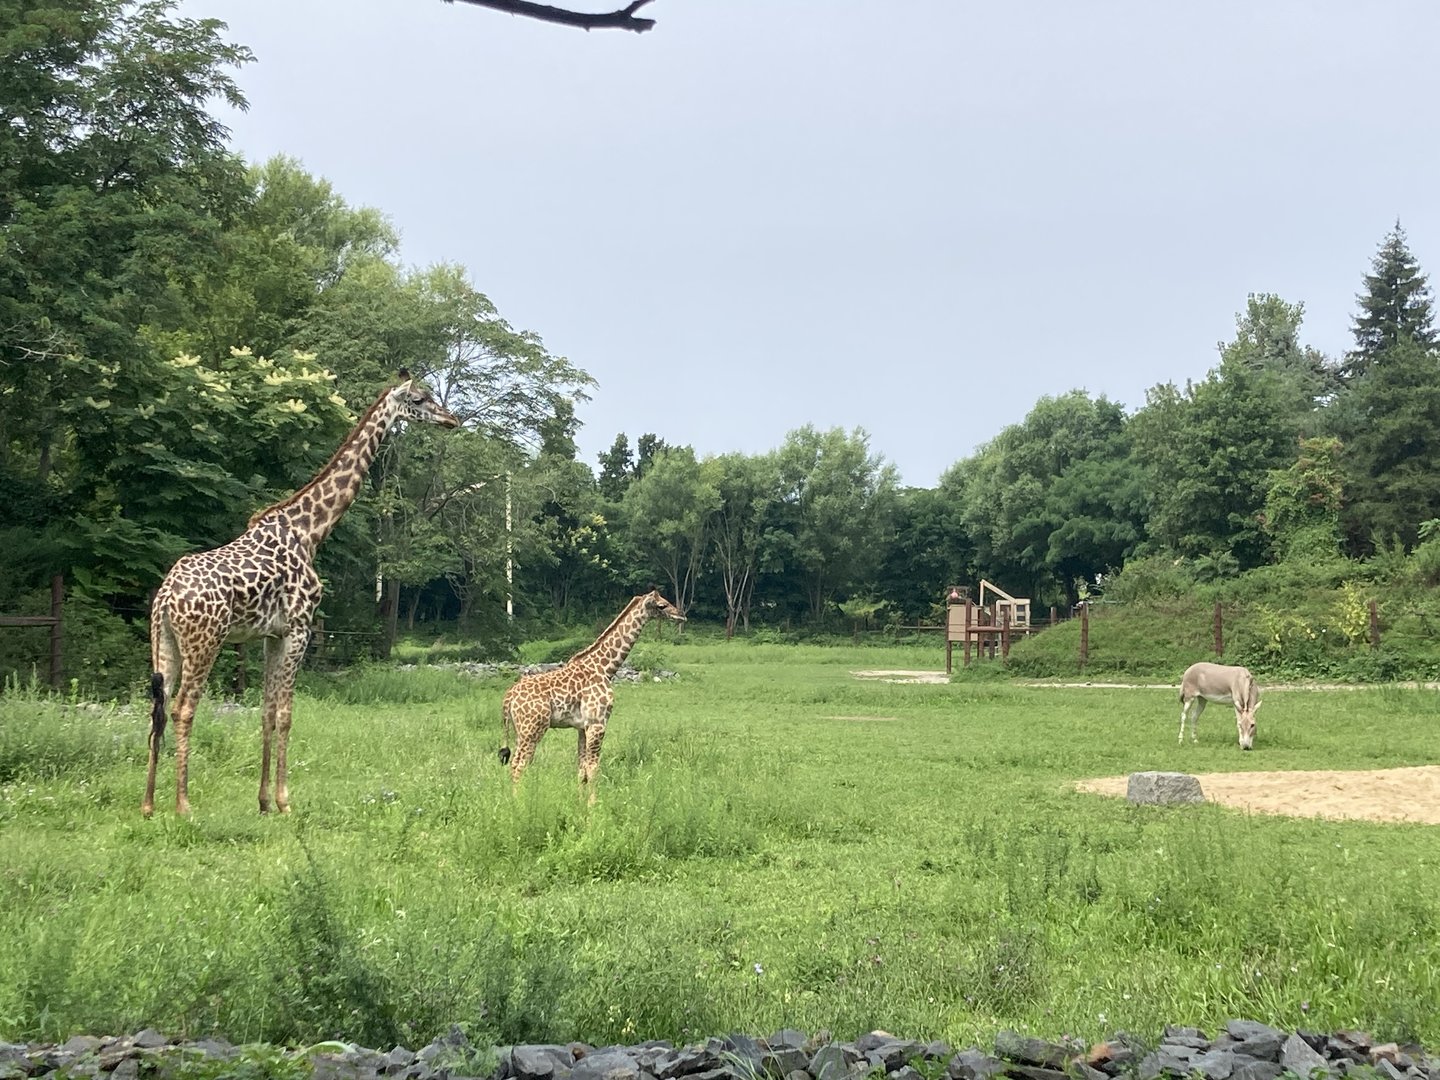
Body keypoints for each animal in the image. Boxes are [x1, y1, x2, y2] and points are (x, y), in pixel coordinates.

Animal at [143, 370, 459, 816]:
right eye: (419, 398)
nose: (452, 420)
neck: (309, 531)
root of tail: (166, 597)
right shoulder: (300, 628)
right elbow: (287, 713)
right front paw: (284, 801)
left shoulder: (270, 635)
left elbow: (266, 711)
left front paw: (262, 802)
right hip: (205, 641)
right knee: (183, 708)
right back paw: (183, 806)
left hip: (165, 642)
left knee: (156, 709)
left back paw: (149, 805)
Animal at [499, 590, 684, 801]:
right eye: (662, 605)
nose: (681, 615)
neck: (605, 668)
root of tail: (508, 697)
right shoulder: (598, 723)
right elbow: (594, 768)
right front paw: (593, 805)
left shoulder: (582, 727)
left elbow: (582, 770)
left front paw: (580, 802)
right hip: (533, 728)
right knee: (519, 764)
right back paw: (518, 802)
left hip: (519, 729)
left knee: (516, 763)